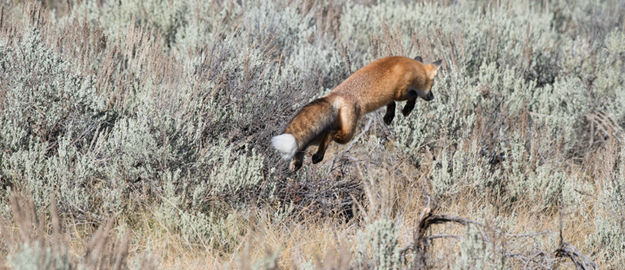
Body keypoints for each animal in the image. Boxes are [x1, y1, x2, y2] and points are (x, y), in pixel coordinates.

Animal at [270, 55, 442, 171]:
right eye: (433, 85)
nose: (432, 97)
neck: (414, 67)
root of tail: (333, 96)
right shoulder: (401, 92)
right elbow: (412, 96)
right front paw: (407, 110)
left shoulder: (390, 96)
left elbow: (391, 103)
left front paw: (389, 117)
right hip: (347, 134)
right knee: (330, 133)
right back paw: (315, 157)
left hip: (318, 136)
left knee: (305, 144)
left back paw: (301, 162)